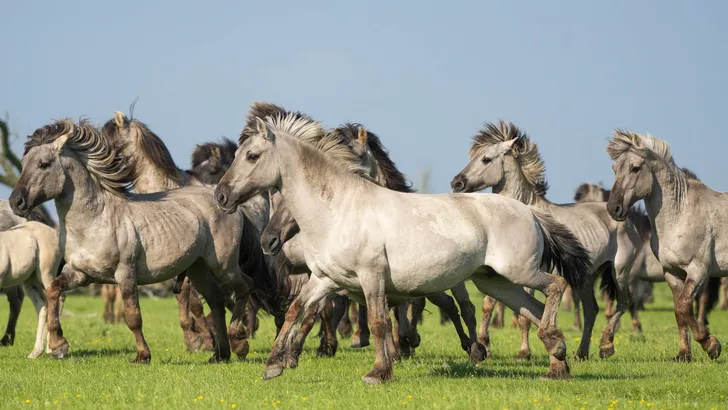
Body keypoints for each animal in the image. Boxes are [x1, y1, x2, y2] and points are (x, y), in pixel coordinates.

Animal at [0, 221, 62, 358]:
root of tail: (53, 231)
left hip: (46, 274)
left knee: (56, 301)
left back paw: (53, 349)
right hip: (30, 281)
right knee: (42, 306)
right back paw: (36, 352)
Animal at [9, 119, 262, 363]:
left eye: (43, 164)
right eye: (24, 163)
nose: (16, 202)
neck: (95, 221)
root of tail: (226, 202)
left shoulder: (125, 274)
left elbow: (133, 317)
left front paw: (142, 355)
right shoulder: (80, 274)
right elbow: (53, 291)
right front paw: (58, 345)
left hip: (223, 265)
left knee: (245, 286)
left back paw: (238, 340)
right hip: (197, 268)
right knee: (217, 300)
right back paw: (220, 354)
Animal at [215, 114, 591, 383]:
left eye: (252, 155)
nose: (220, 195)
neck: (339, 209)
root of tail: (529, 211)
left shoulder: (371, 277)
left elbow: (379, 322)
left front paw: (378, 372)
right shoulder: (324, 279)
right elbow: (296, 311)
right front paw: (274, 365)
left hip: (518, 271)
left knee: (555, 287)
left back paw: (552, 347)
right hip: (495, 281)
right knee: (532, 308)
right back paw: (557, 363)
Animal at [451, 120, 642, 360]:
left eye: (486, 159)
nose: (456, 183)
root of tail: (625, 218)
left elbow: (523, 315)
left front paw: (524, 353)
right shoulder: (496, 270)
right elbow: (489, 305)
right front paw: (485, 345)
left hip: (620, 271)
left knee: (623, 303)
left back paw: (605, 347)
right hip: (586, 277)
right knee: (592, 310)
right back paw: (581, 353)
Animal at [605, 130, 725, 361]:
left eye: (635, 168)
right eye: (614, 169)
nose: (613, 208)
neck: (681, 214)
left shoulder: (699, 270)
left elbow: (685, 307)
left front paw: (711, 344)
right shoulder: (672, 272)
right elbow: (679, 312)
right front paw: (684, 354)